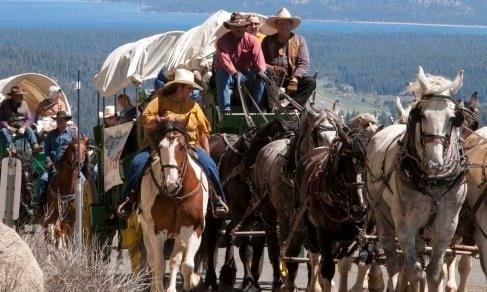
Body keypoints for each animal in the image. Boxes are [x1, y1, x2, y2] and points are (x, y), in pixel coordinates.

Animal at [139, 120, 210, 290]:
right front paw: (157, 289)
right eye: (160, 147)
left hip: (178, 234)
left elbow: (187, 265)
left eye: (182, 147)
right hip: (146, 228)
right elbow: (158, 265)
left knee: (175, 260)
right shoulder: (155, 230)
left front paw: (191, 282)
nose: (170, 184)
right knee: (152, 261)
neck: (176, 196)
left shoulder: (195, 228)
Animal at [366, 66, 468, 290]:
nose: (434, 163)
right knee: (393, 262)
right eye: (421, 115)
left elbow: (434, 273)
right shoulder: (406, 226)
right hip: (382, 213)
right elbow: (413, 270)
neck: (433, 181)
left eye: (453, 118)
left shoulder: (447, 225)